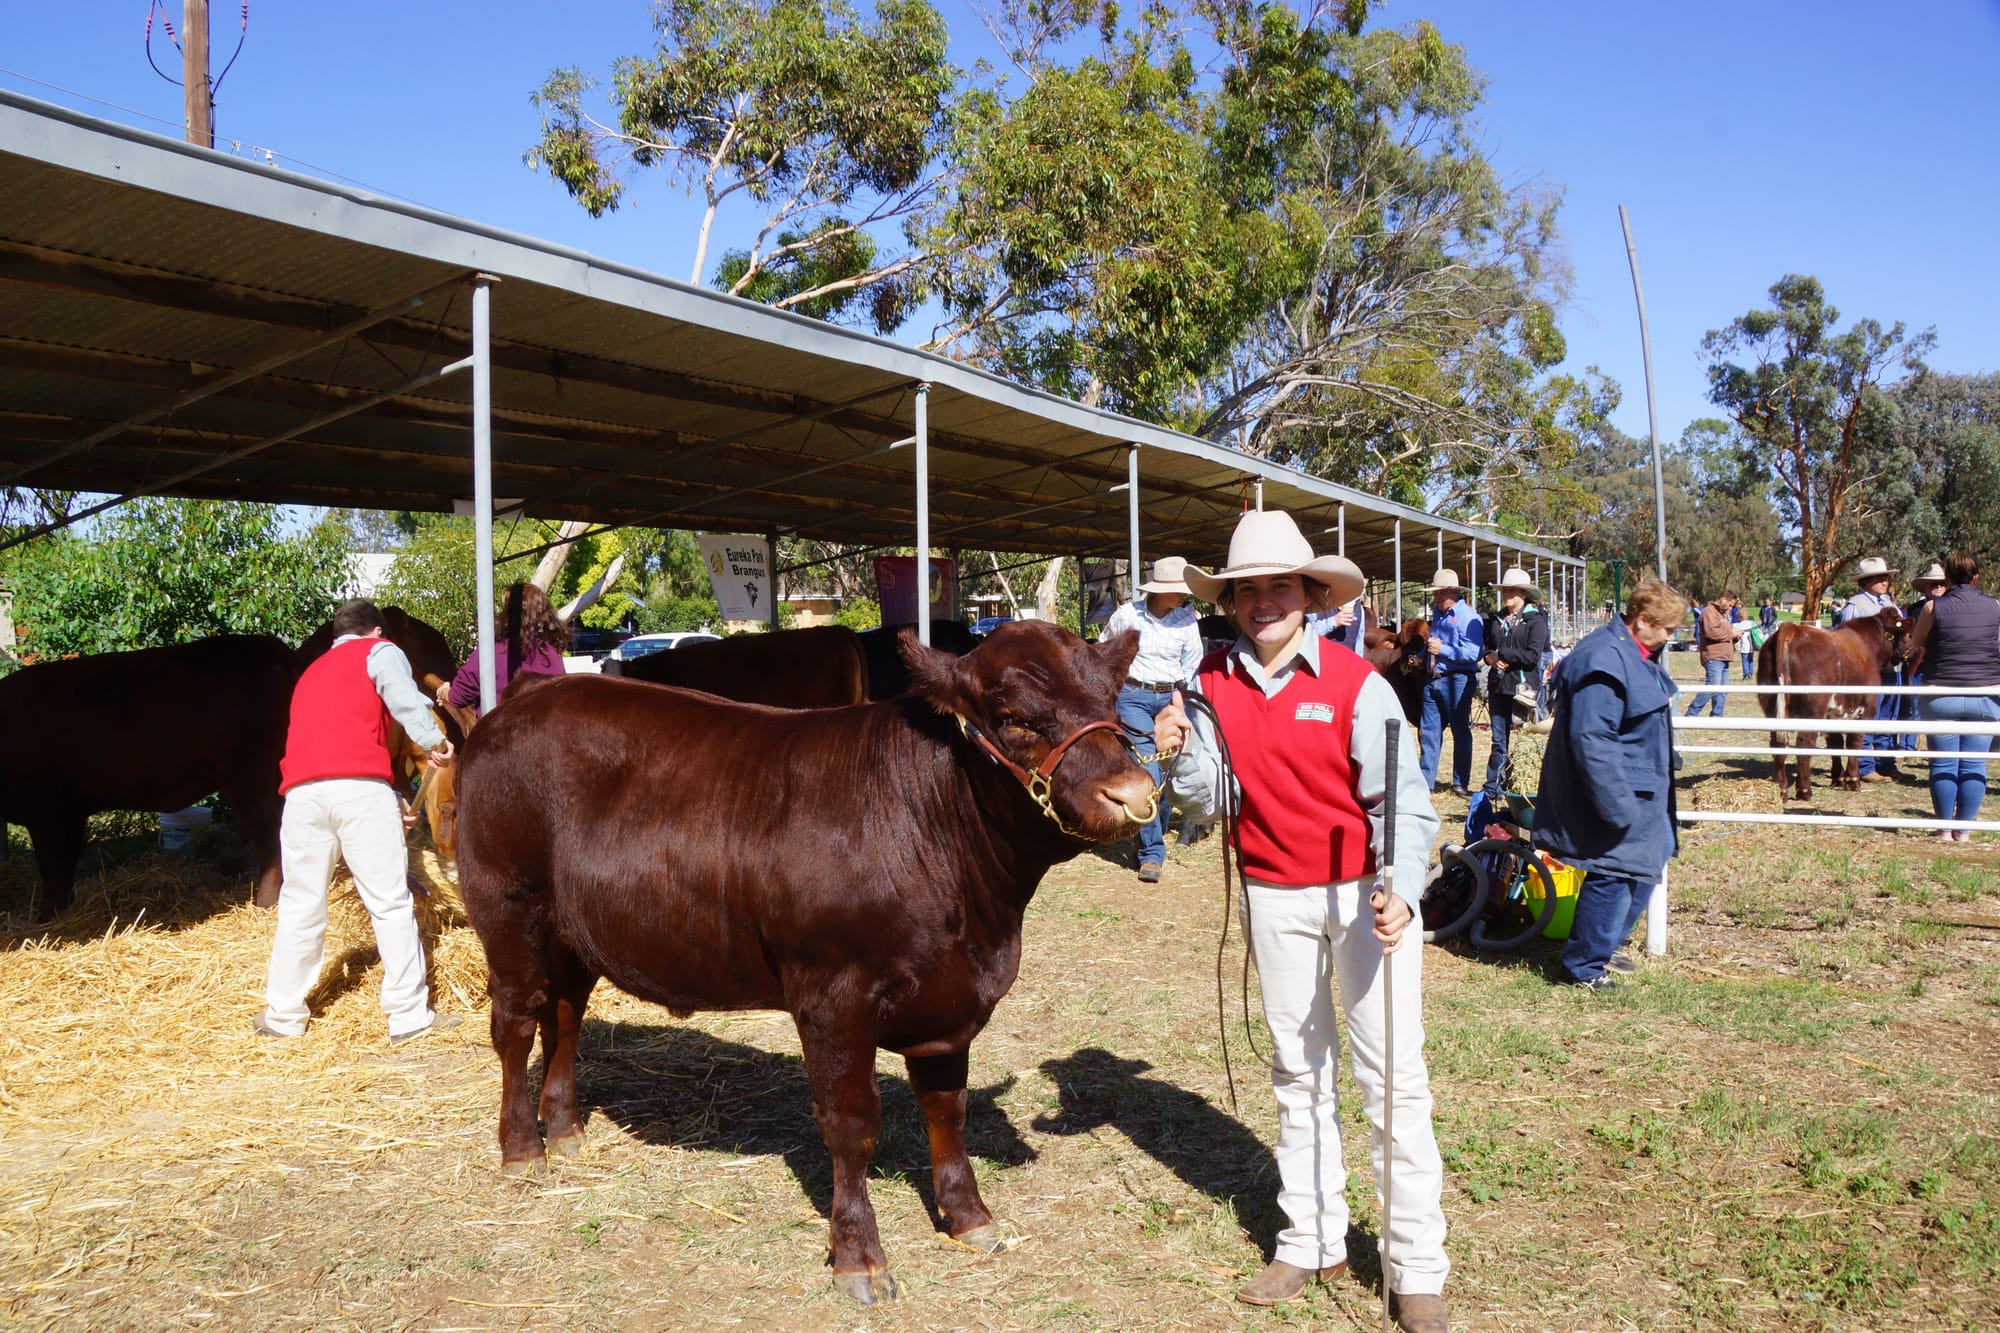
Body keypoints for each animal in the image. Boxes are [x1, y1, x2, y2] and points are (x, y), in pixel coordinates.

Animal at [0, 635, 296, 919]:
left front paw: (46, 920)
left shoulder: (43, 808)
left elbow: (51, 866)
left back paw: (264, 905)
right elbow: (65, 864)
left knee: (271, 838)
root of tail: (271, 649)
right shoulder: (72, 811)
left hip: (251, 777)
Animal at [1758, 608, 1908, 800]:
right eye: (1906, 633)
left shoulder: (1832, 713)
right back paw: (1804, 790)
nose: (1913, 649)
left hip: (1772, 707)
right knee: (1804, 743)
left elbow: (1835, 742)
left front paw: (1838, 777)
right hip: (1812, 709)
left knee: (1777, 745)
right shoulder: (1866, 709)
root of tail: (1793, 628)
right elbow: (1854, 743)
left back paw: (1782, 790)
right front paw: (1853, 780)